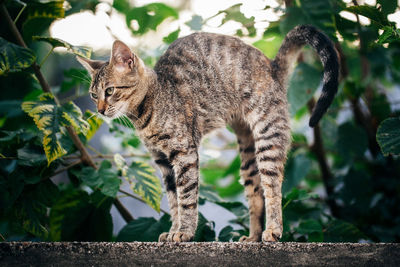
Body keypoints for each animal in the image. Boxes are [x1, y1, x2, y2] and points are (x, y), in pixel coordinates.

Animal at [77, 25, 338, 243]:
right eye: (93, 95)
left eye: (110, 91)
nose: (99, 110)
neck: (147, 111)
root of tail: (272, 65)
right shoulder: (163, 162)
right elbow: (173, 201)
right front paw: (173, 231)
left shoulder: (184, 153)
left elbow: (186, 198)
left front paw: (184, 232)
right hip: (247, 155)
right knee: (256, 193)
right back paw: (253, 237)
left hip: (267, 137)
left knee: (273, 188)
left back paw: (273, 230)